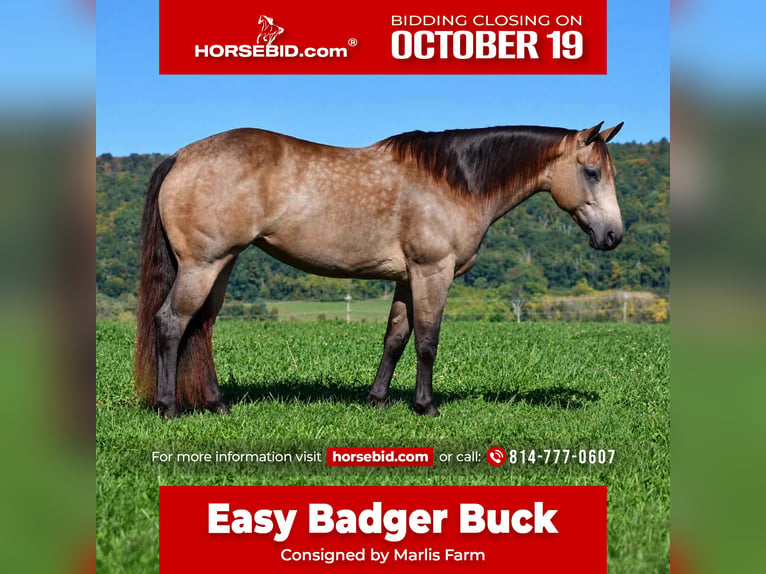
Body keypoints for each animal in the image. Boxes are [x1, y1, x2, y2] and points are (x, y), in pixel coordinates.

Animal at [133, 122, 624, 418]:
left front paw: (377, 400)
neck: (453, 181)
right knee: (172, 323)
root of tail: (180, 156)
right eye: (592, 172)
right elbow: (427, 341)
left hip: (221, 265)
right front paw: (426, 406)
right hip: (203, 265)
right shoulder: (432, 273)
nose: (614, 235)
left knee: (201, 327)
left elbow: (395, 339)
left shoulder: (406, 279)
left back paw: (216, 404)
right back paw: (168, 407)